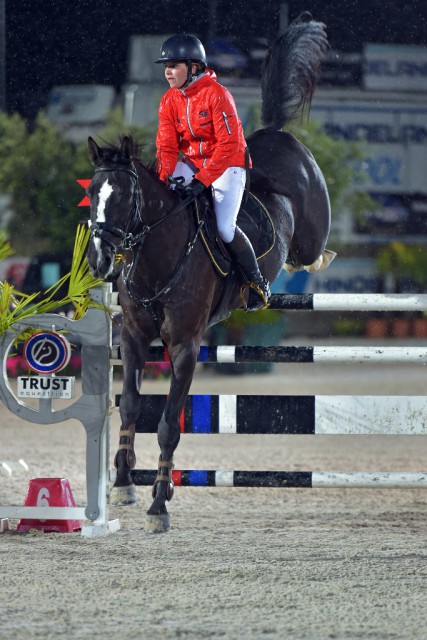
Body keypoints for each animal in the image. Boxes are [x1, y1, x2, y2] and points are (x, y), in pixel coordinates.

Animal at [86, 16, 334, 536]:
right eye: (93, 192)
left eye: (123, 197)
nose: (98, 261)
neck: (158, 255)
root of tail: (274, 134)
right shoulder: (134, 338)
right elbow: (132, 406)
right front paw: (123, 485)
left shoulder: (183, 346)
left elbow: (168, 424)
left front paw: (159, 505)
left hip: (308, 225)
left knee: (310, 250)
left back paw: (310, 264)